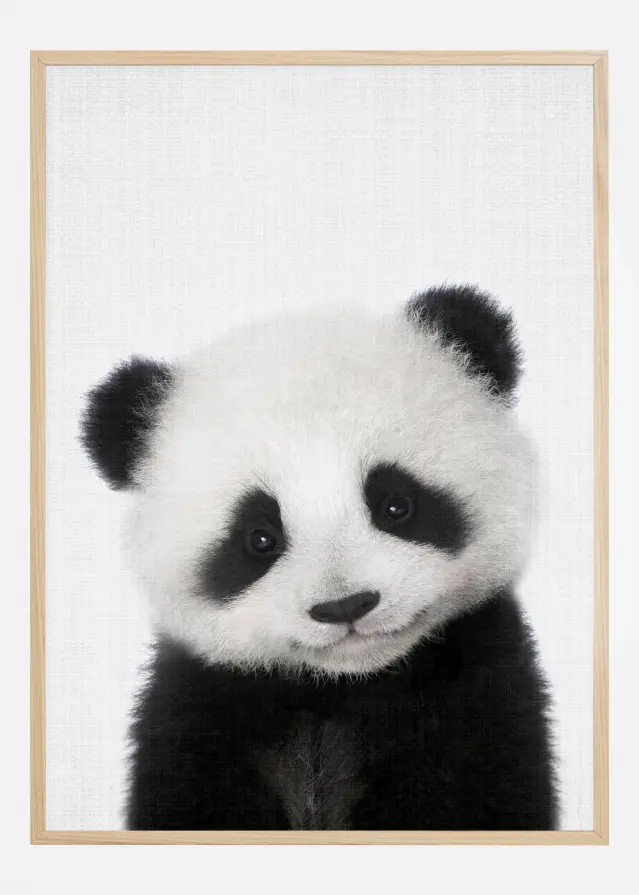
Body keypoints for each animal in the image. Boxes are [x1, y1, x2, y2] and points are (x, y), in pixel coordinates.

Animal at [81, 284, 558, 831]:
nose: (345, 606)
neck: (340, 687)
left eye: (396, 505)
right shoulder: (200, 711)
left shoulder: (475, 693)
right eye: (259, 538)